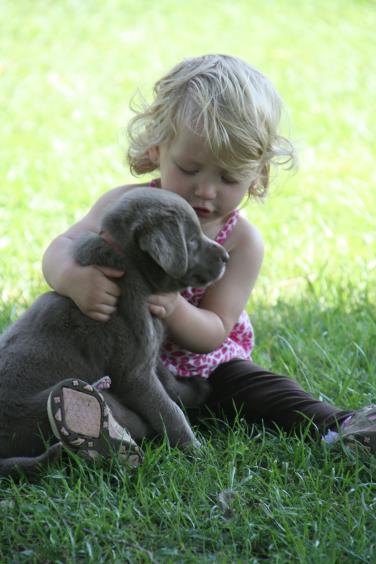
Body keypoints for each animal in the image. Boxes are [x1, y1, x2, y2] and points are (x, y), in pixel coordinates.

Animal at [0, 188, 229, 476]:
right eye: (192, 240)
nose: (227, 257)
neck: (133, 268)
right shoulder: (135, 375)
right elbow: (169, 410)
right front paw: (199, 453)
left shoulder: (149, 358)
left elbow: (170, 385)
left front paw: (198, 389)